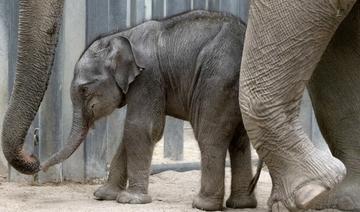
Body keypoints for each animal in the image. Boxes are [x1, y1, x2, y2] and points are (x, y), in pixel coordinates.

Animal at [42, 9, 255, 210]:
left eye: (84, 89)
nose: (40, 167)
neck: (123, 35)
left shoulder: (148, 76)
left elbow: (141, 127)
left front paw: (130, 200)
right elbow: (129, 133)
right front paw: (104, 195)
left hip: (216, 83)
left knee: (209, 136)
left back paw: (203, 205)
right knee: (240, 140)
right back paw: (241, 204)